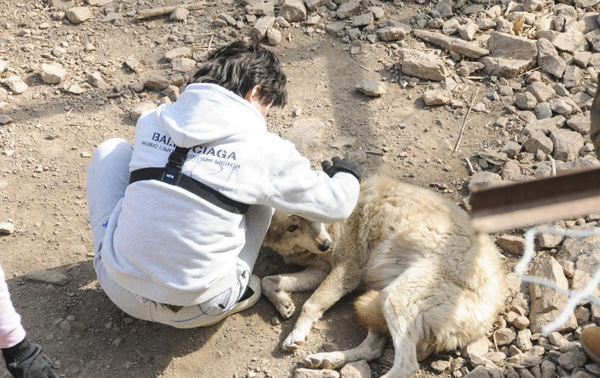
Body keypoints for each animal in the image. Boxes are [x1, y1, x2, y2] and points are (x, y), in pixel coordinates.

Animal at [262, 176, 506, 376]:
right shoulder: (320, 269)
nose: (325, 245)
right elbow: (268, 281)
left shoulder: (347, 270)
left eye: (314, 215)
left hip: (394, 298)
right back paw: (325, 360)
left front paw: (296, 334)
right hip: (380, 300)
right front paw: (283, 302)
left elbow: (312, 303)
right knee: (373, 350)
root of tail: (490, 314)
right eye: (292, 227)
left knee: (406, 365)